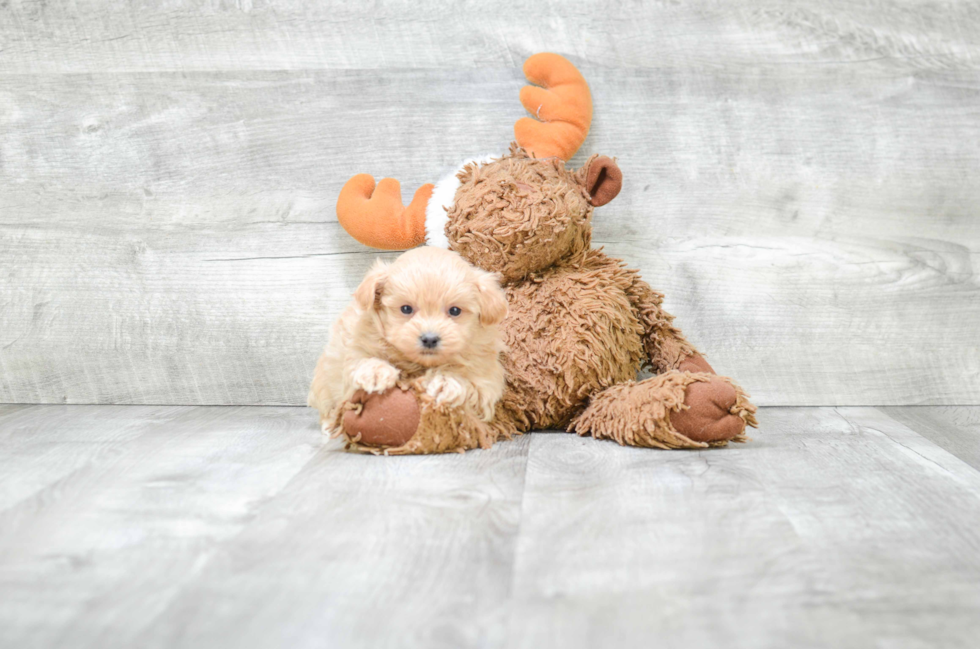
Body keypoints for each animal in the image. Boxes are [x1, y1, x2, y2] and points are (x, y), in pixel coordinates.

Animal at [308, 246, 510, 432]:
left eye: (455, 311)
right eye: (406, 309)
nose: (429, 339)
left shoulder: (486, 382)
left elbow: (468, 381)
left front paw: (446, 381)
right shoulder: (353, 352)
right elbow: (360, 361)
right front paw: (376, 372)